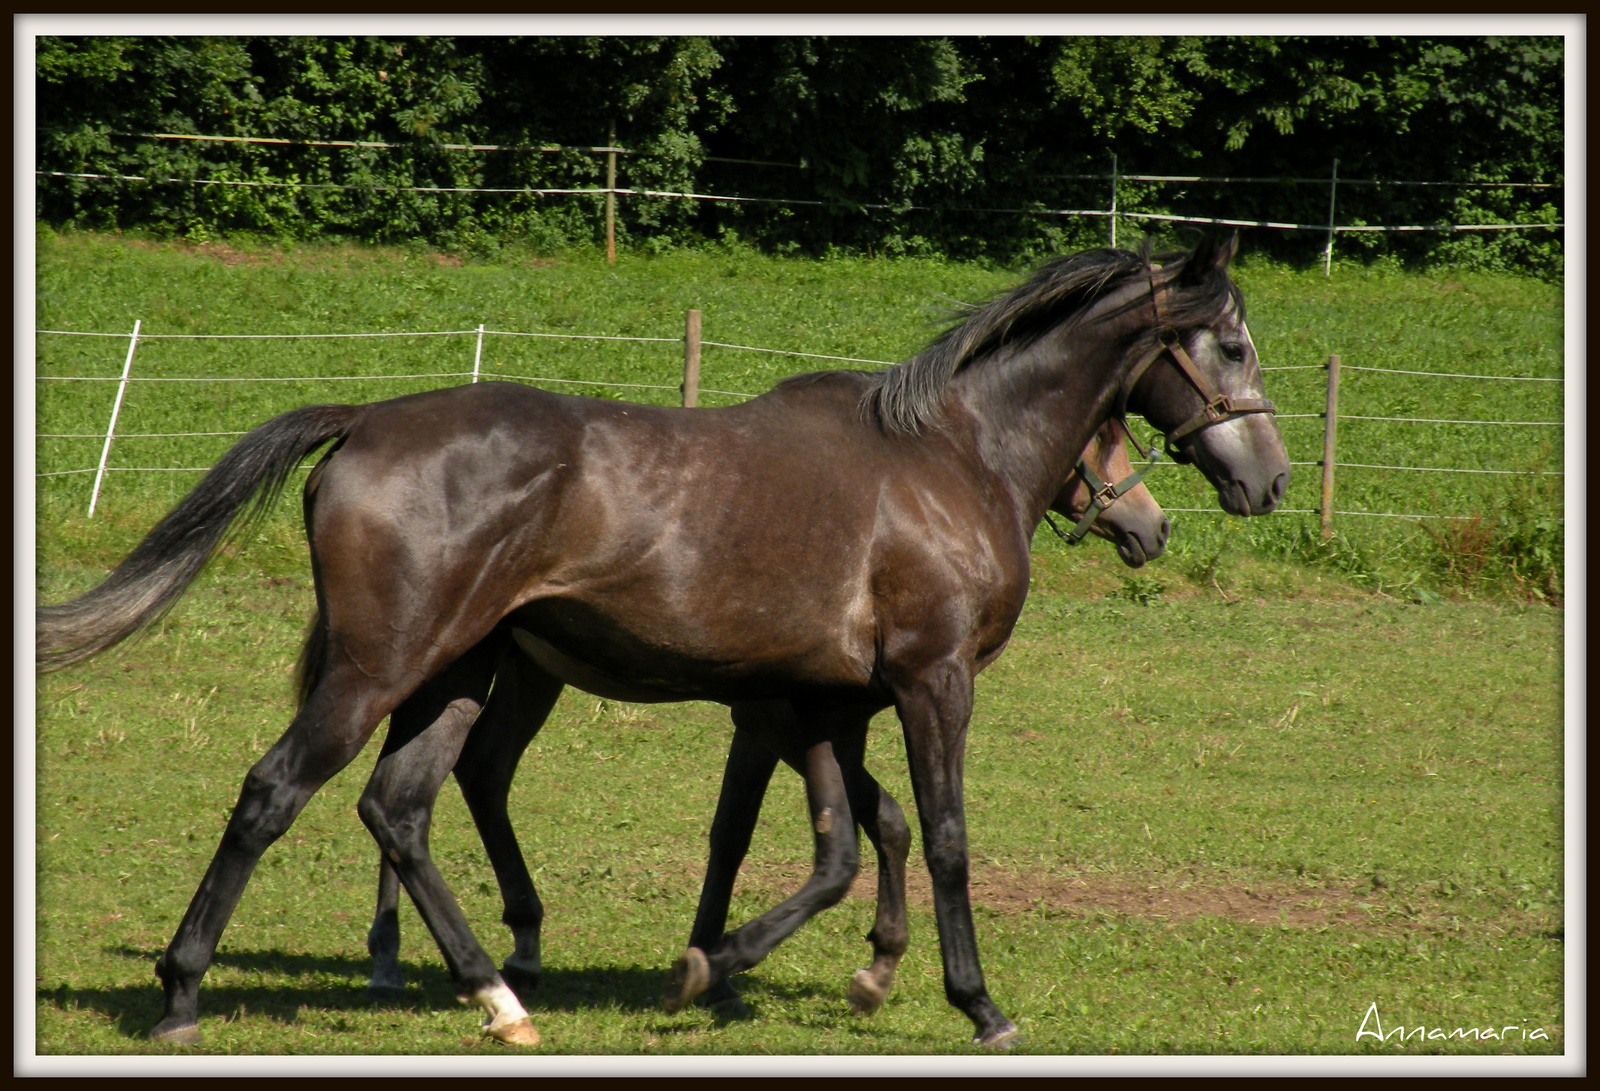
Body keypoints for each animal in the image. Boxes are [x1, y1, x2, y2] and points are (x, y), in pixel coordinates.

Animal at [360, 412, 1164, 1011]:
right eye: (1102, 438)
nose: (1153, 527)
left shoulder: (811, 723)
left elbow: (878, 820)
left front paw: (855, 963)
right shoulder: (771, 722)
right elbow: (745, 832)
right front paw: (715, 965)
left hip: (525, 675)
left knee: (474, 769)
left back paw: (479, 947)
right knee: (423, 778)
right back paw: (406, 957)